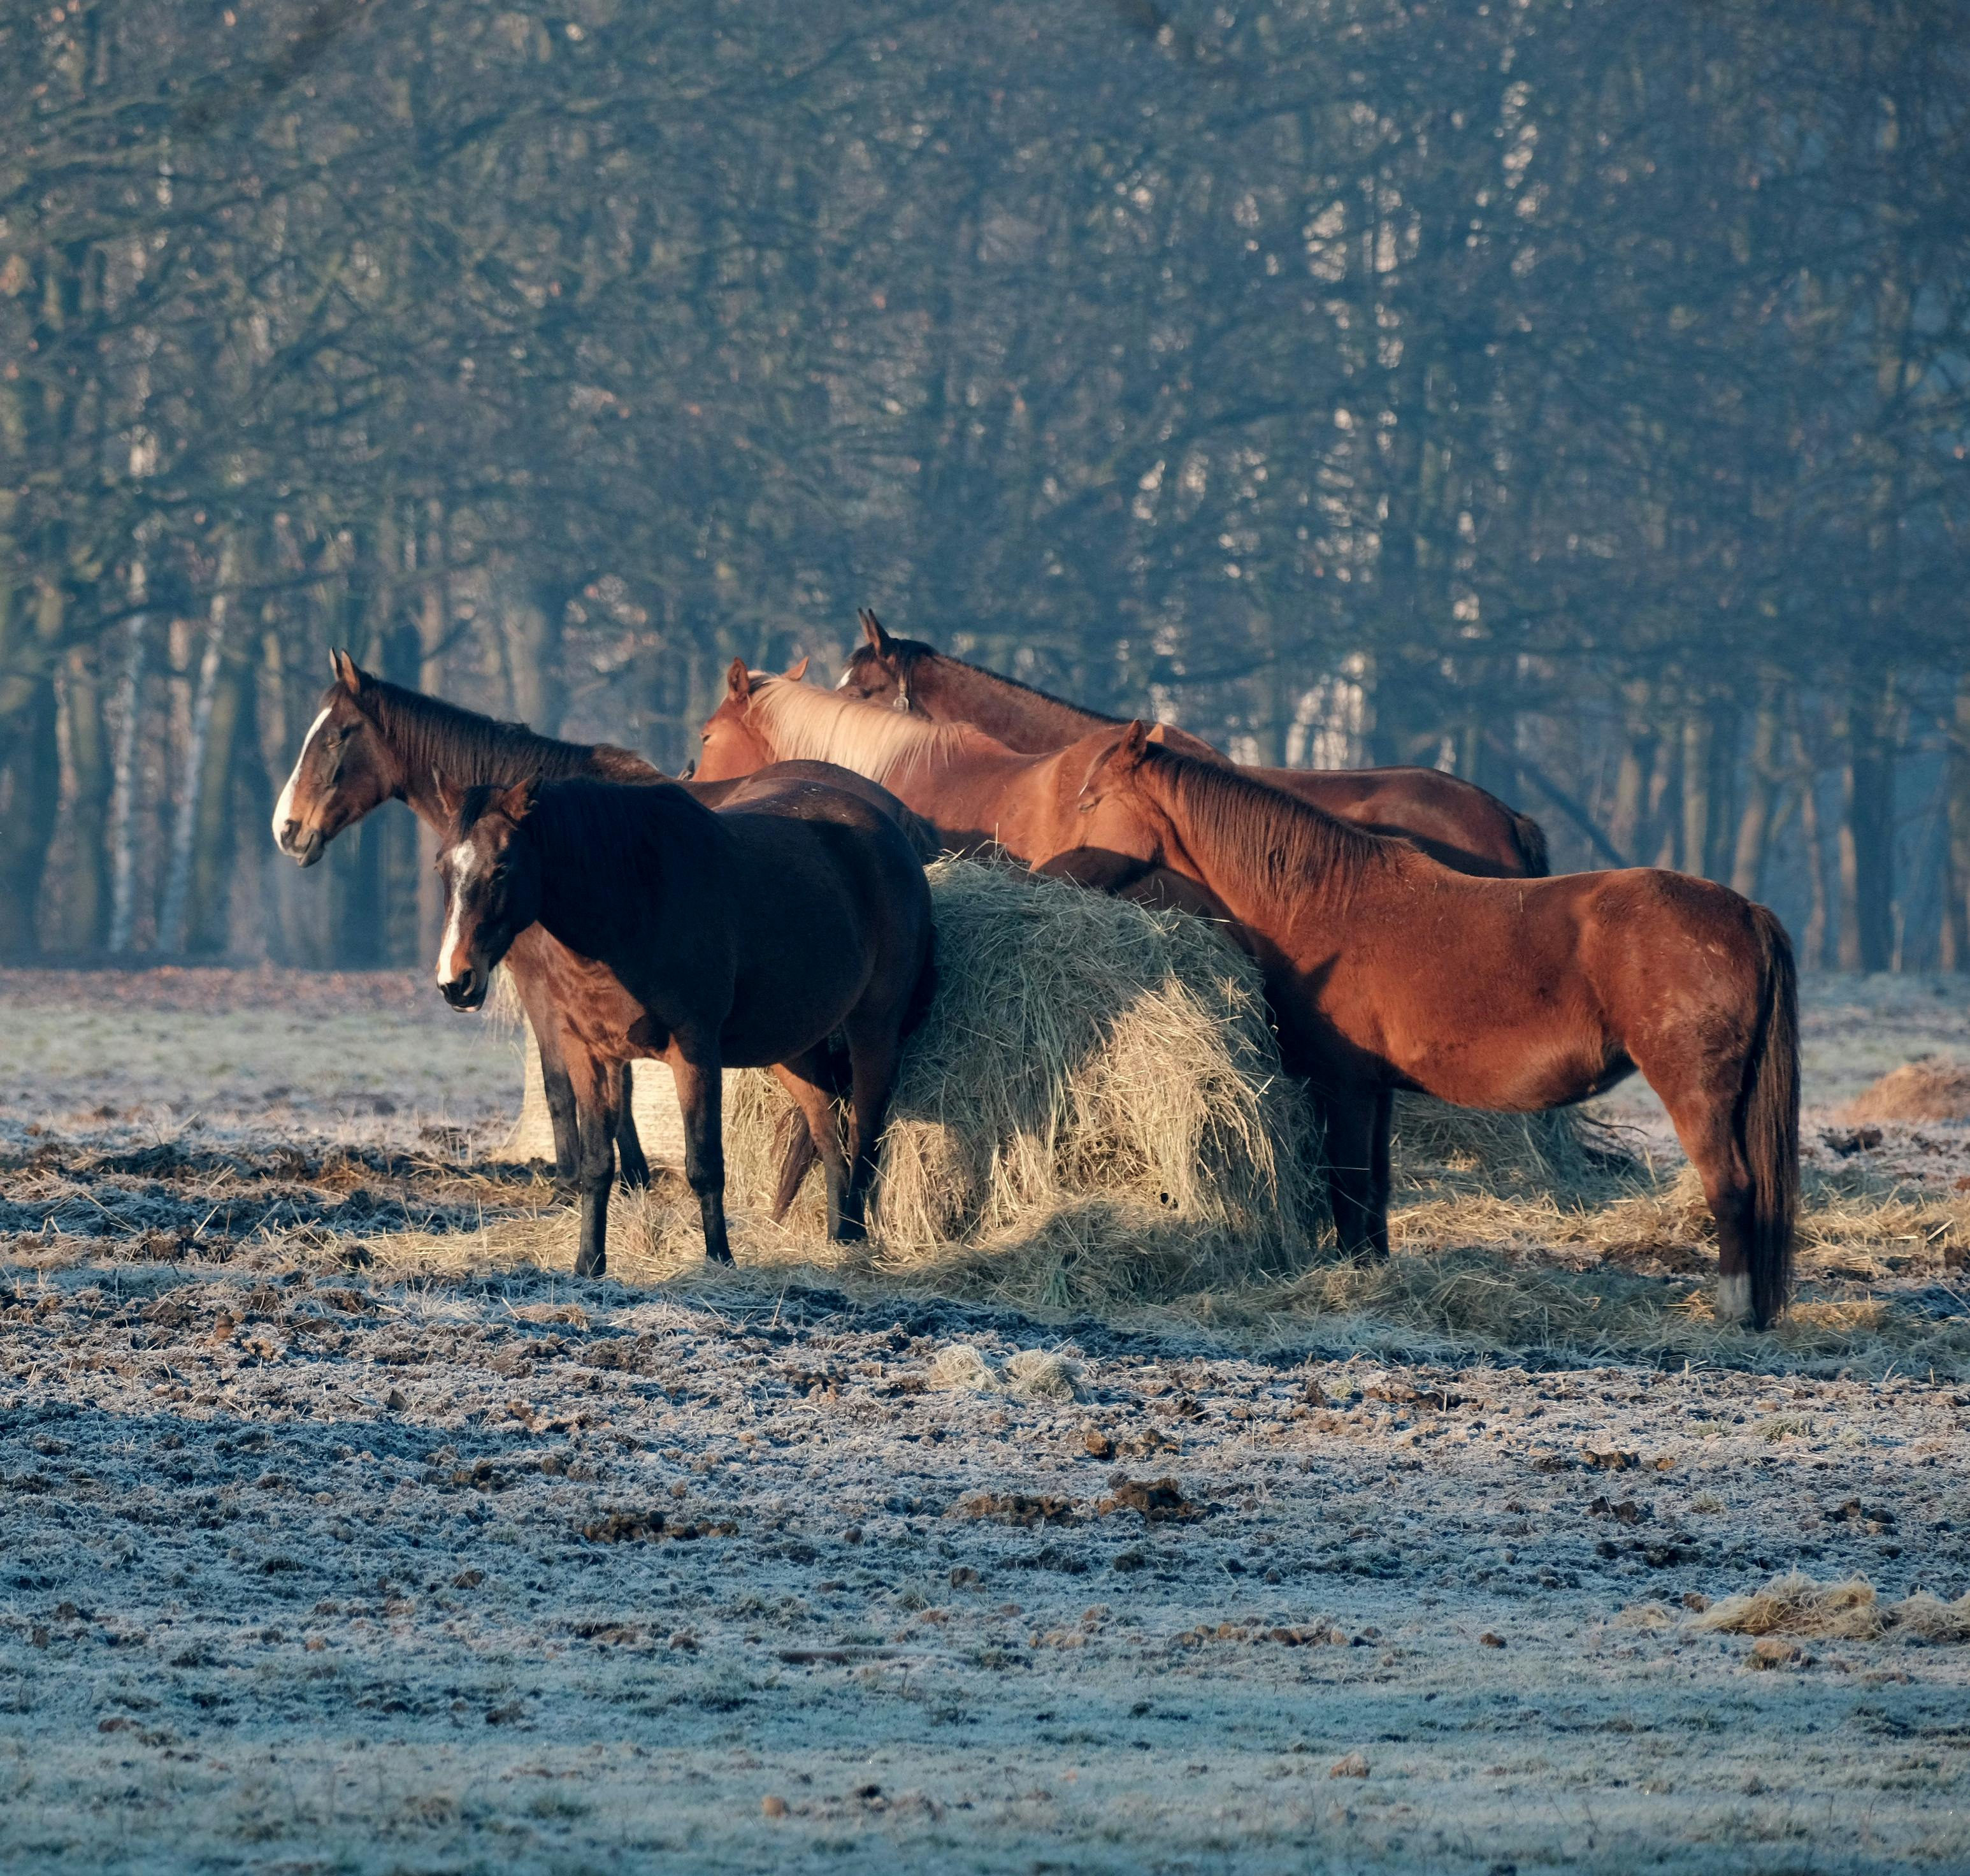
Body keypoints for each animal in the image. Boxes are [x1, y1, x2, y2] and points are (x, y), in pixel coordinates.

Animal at [271, 651, 937, 1195]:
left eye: (336, 736)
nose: (288, 829)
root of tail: (891, 816)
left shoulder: (544, 988)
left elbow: (562, 1086)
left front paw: (581, 1184)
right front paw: (629, 1181)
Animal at [434, 773, 935, 1275]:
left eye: (502, 867)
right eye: (442, 868)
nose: (455, 981)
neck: (633, 902)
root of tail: (892, 834)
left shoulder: (694, 1050)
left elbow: (704, 1164)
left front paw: (719, 1259)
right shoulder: (589, 1052)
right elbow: (598, 1164)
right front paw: (589, 1264)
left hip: (874, 1028)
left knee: (863, 1132)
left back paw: (856, 1238)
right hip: (794, 1047)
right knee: (828, 1132)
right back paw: (838, 1237)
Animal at [1043, 722, 1799, 1328]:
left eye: (1089, 802)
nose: (1046, 872)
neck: (1318, 902)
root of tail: (1745, 911)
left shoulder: (1343, 1087)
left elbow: (1349, 1186)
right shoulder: (1374, 1092)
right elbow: (1374, 1189)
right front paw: (1374, 1276)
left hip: (1694, 1092)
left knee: (1732, 1187)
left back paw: (1734, 1311)